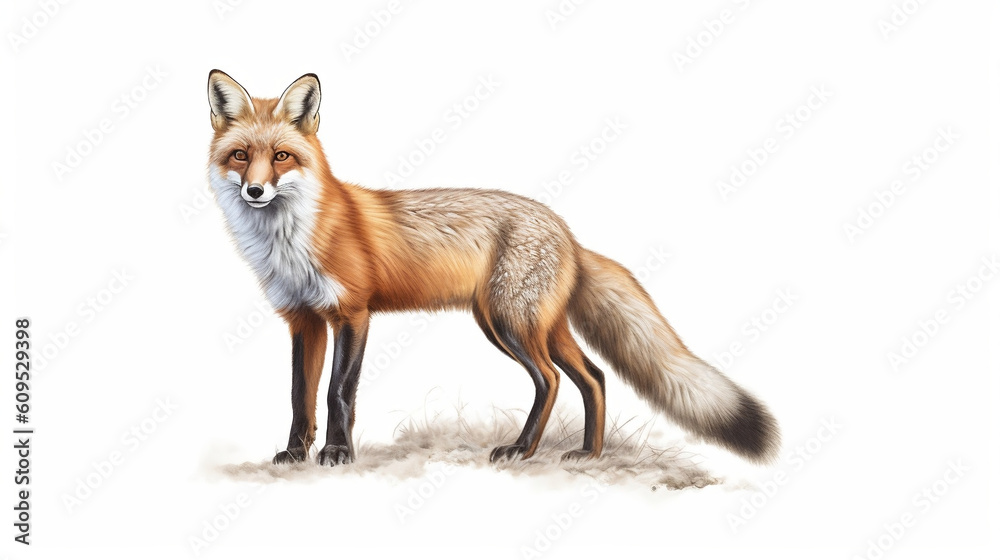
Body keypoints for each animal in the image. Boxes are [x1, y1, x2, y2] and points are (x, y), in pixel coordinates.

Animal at [206, 69, 780, 467]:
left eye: (282, 157)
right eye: (240, 156)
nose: (255, 191)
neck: (291, 241)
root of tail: (568, 233)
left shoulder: (353, 313)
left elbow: (336, 393)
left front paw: (338, 454)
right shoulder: (303, 319)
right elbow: (299, 397)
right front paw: (295, 453)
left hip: (511, 324)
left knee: (551, 380)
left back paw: (523, 450)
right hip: (530, 324)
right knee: (592, 377)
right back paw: (588, 455)